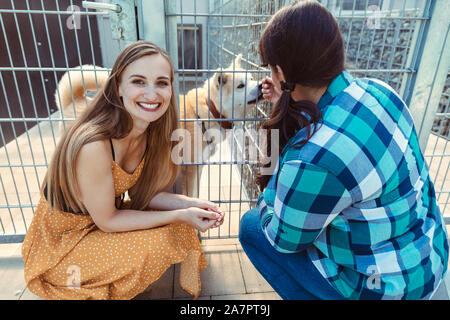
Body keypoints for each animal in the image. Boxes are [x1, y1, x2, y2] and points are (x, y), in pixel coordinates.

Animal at [54, 53, 262, 196]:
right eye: (240, 86)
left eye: (252, 78)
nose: (261, 85)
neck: (205, 113)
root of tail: (74, 101)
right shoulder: (188, 169)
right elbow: (190, 195)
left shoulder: (198, 166)